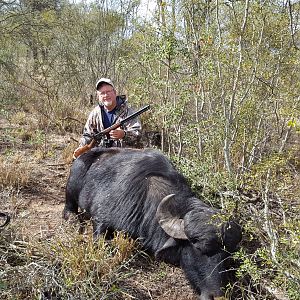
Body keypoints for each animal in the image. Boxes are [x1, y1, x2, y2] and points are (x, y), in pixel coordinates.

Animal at [63, 148, 241, 300]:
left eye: (227, 255)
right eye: (198, 249)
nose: (218, 296)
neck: (146, 197)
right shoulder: (101, 220)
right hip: (73, 182)